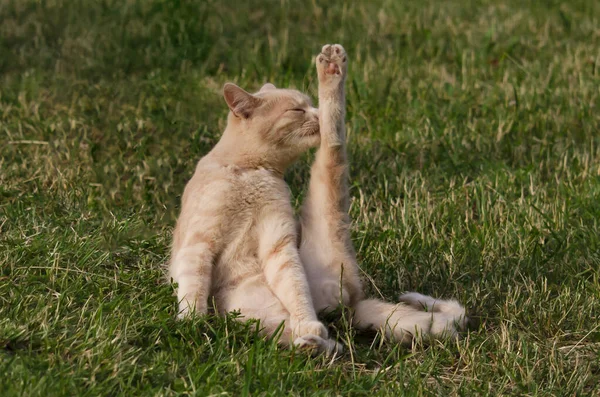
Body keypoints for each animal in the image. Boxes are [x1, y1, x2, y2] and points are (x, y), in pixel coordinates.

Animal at [169, 43, 468, 352]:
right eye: (297, 109)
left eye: (306, 105)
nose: (314, 113)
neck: (252, 172)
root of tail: (347, 308)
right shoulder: (199, 243)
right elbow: (193, 288)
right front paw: (191, 324)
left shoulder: (279, 243)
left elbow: (294, 287)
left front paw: (307, 322)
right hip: (253, 311)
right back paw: (311, 343)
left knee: (333, 141)